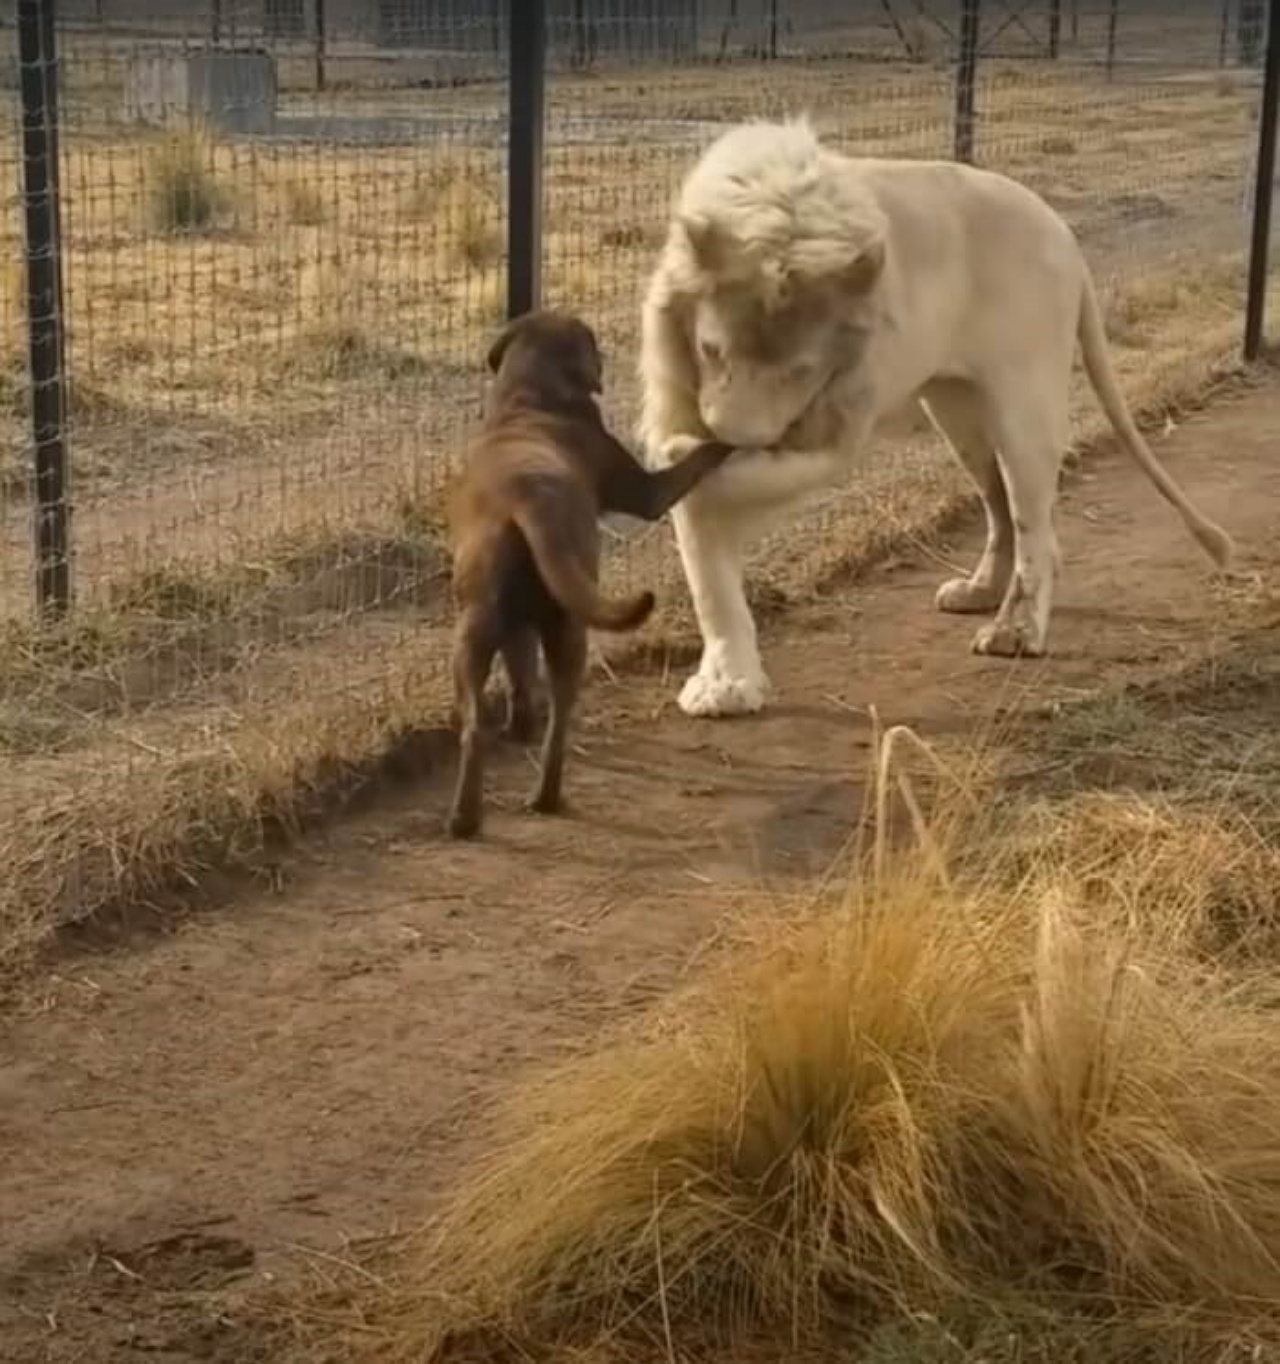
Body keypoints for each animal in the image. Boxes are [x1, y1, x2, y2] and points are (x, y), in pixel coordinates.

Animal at [447, 312, 725, 840]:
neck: (531, 397)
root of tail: (527, 498)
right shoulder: (646, 492)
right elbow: (697, 460)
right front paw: (725, 441)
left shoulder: (516, 627)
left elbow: (519, 673)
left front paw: (519, 726)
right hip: (569, 629)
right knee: (560, 719)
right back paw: (546, 797)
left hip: (476, 630)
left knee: (475, 725)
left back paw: (465, 816)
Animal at [635, 117, 1228, 720]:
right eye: (711, 350)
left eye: (800, 370)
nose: (727, 436)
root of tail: (1063, 233)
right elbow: (708, 574)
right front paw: (726, 684)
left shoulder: (840, 424)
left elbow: (729, 489)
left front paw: (685, 465)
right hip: (957, 413)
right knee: (1000, 507)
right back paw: (979, 593)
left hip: (1025, 409)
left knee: (1033, 526)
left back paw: (1016, 631)